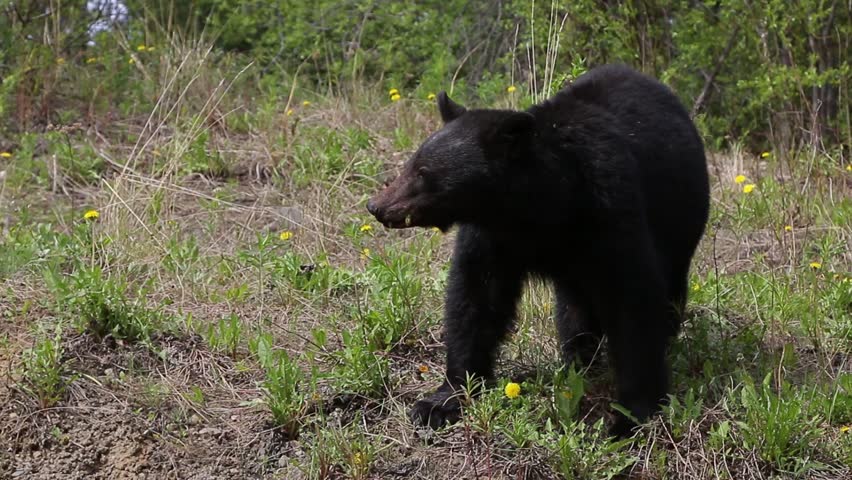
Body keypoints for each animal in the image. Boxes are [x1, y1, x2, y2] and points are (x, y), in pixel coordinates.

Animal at [366, 63, 710, 436]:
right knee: (575, 310)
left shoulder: (611, 212)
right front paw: (443, 400)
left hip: (681, 224)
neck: (539, 209)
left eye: (422, 171)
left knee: (669, 289)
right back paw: (578, 360)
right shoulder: (491, 237)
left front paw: (631, 412)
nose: (377, 206)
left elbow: (632, 301)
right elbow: (475, 297)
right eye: (412, 163)